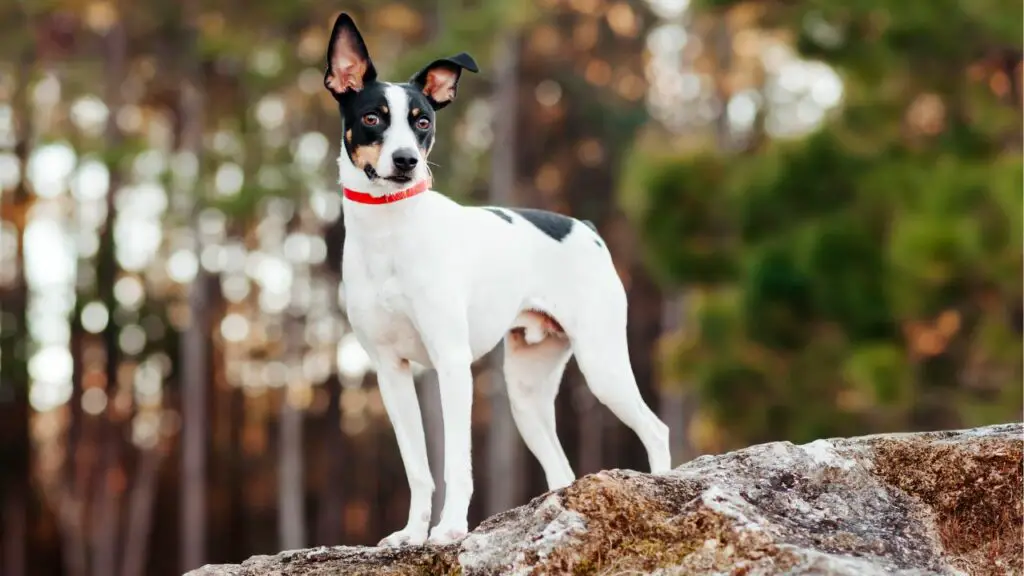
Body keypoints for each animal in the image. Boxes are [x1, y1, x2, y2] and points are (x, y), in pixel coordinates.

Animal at [321, 12, 671, 541]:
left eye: (423, 121)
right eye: (372, 118)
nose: (407, 161)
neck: (391, 231)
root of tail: (587, 229)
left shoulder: (451, 363)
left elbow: (455, 464)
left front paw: (449, 529)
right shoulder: (391, 372)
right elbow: (418, 468)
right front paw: (411, 534)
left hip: (602, 364)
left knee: (655, 429)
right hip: (527, 395)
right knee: (561, 468)